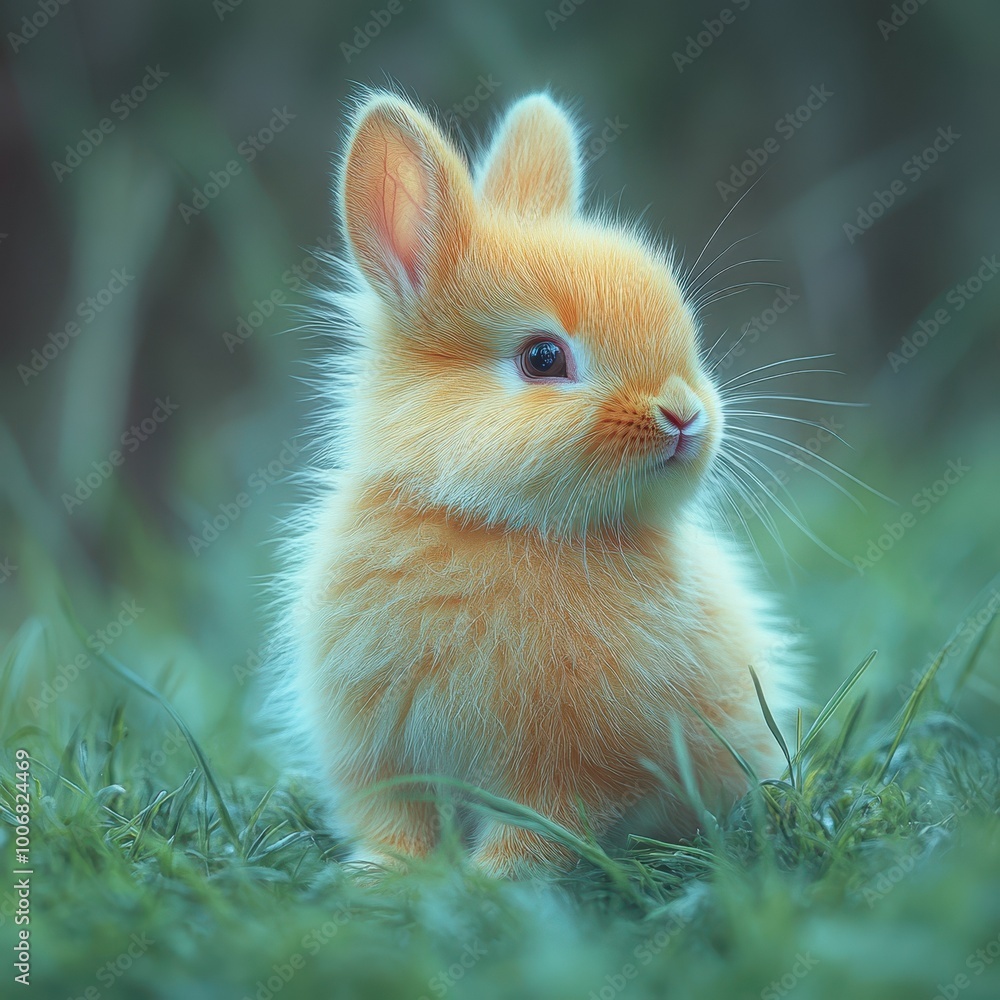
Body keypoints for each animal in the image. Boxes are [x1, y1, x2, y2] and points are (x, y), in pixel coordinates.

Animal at [279, 89, 799, 878]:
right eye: (543, 358)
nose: (683, 414)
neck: (494, 525)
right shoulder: (379, 753)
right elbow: (395, 820)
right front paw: (385, 878)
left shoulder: (563, 771)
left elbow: (537, 829)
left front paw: (489, 883)